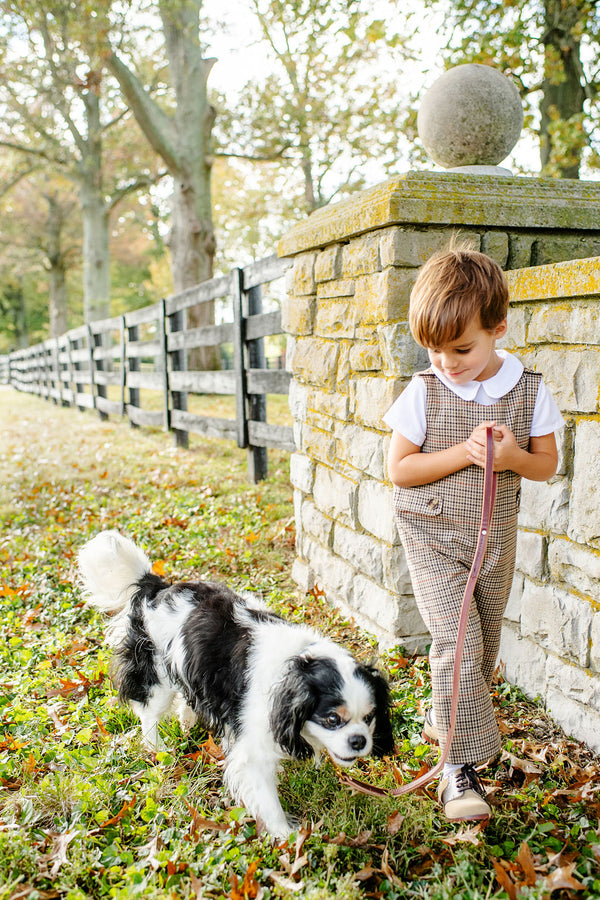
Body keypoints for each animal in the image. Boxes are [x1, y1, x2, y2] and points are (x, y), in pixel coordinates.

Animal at [77, 528, 394, 836]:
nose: (359, 741)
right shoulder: (254, 752)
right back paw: (157, 748)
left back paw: (188, 720)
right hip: (158, 675)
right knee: (149, 714)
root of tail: (158, 587)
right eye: (332, 719)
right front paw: (287, 837)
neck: (294, 667)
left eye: (369, 718)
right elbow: (267, 798)